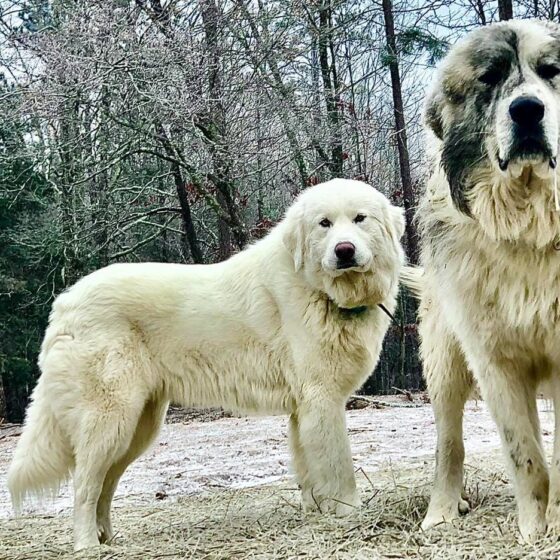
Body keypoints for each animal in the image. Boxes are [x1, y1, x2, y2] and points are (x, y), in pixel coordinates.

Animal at [7, 178, 402, 548]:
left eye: (360, 219)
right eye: (324, 224)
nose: (344, 250)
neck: (321, 292)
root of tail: (64, 303)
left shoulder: (302, 410)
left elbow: (308, 472)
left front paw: (316, 513)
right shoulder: (322, 401)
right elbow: (340, 467)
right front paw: (351, 513)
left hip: (136, 429)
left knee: (105, 486)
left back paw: (109, 539)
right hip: (110, 421)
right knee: (84, 487)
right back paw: (88, 544)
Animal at [400, 21, 560, 544]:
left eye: (553, 71)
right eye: (490, 78)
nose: (527, 109)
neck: (533, 227)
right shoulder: (494, 362)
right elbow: (524, 454)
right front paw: (533, 528)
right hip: (445, 362)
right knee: (448, 443)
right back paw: (442, 511)